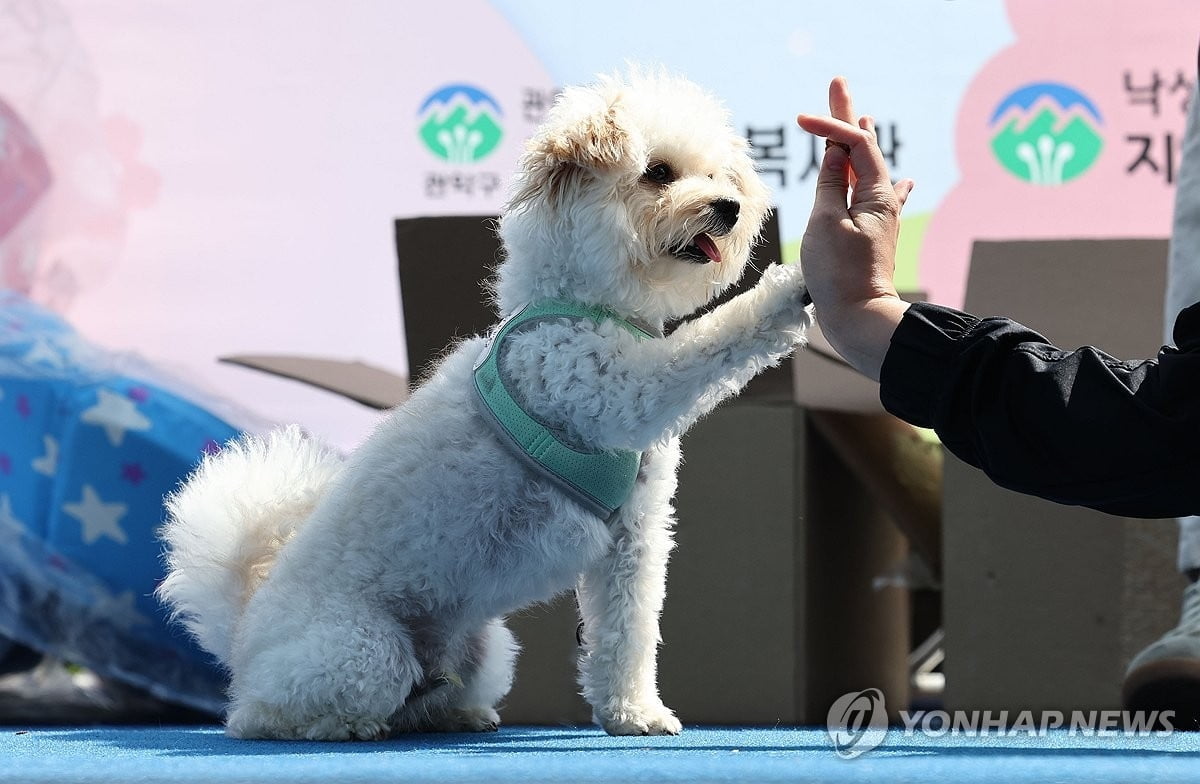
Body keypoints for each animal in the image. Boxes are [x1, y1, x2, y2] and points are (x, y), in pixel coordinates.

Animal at [159, 68, 811, 739]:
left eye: (717, 175)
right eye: (658, 172)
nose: (730, 208)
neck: (580, 303)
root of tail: (244, 633)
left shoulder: (634, 535)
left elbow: (628, 632)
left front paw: (634, 712)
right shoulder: (604, 385)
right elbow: (708, 337)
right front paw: (790, 287)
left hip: (486, 649)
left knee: (431, 695)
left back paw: (458, 713)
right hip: (363, 649)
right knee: (264, 715)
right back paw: (341, 724)